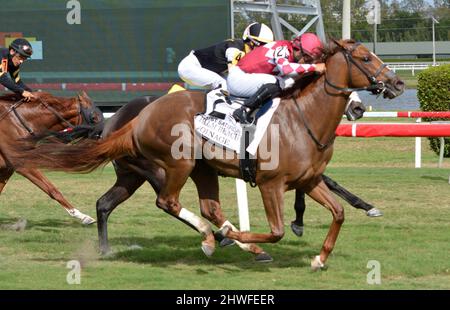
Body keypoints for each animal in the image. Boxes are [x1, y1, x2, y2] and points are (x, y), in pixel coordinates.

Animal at [0, 91, 103, 224]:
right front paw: (83, 216)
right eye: (94, 118)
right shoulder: (23, 164)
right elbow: (53, 190)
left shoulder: (7, 169)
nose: (102, 139)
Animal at [11, 40, 404, 268]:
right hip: (174, 164)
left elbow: (338, 211)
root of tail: (131, 119)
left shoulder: (308, 179)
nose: (397, 82)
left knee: (129, 204)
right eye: (365, 57)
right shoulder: (271, 183)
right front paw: (252, 238)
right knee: (168, 202)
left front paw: (320, 256)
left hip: (181, 170)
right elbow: (275, 231)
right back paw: (215, 239)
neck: (303, 117)